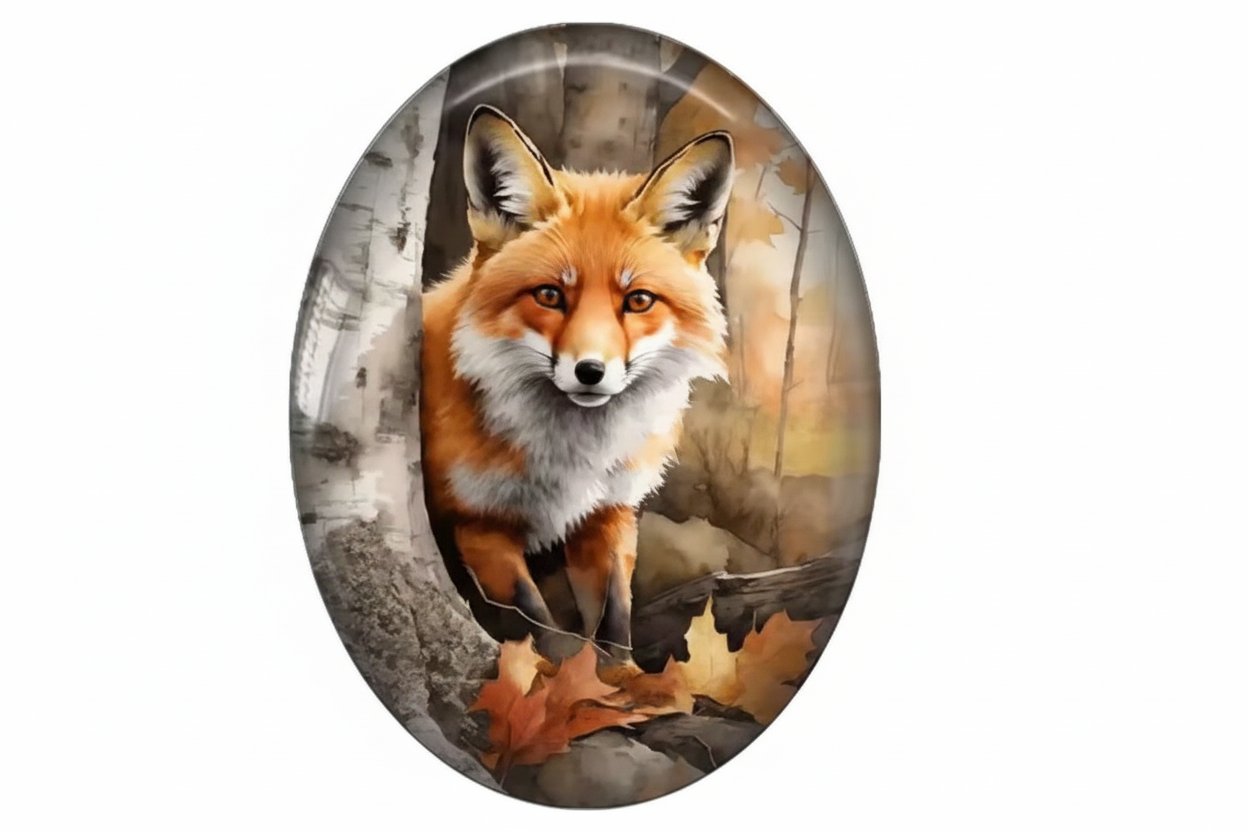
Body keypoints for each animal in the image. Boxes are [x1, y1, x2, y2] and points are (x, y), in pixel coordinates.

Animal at [420, 104, 733, 664]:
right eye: (549, 295)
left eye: (638, 301)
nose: (590, 371)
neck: (572, 457)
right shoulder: (476, 524)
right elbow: (541, 625)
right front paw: (563, 678)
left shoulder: (609, 513)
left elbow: (615, 617)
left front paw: (621, 677)